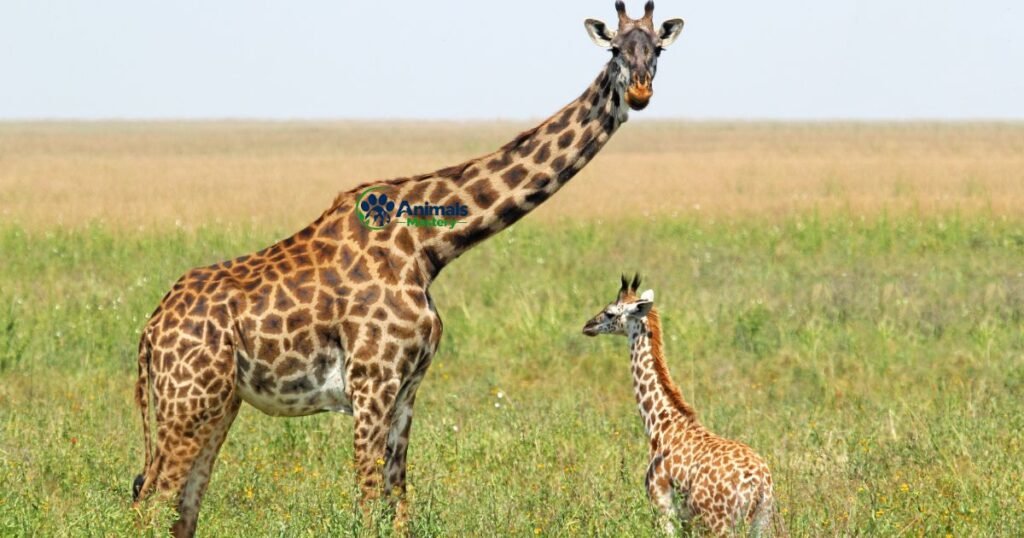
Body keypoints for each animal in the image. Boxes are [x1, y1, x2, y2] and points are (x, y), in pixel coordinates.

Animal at [130, 3, 685, 536]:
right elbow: (367, 503)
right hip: (189, 400)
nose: (639, 92)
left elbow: (398, 502)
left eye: (657, 48)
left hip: (218, 402)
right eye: (614, 48)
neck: (428, 246)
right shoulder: (372, 382)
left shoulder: (407, 389)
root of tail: (151, 330)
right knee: (150, 500)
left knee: (180, 506)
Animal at [582, 276, 775, 536]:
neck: (660, 424)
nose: (588, 325)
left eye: (610, 312)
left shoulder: (662, 505)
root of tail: (759, 485)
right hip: (762, 522)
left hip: (720, 524)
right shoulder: (685, 519)